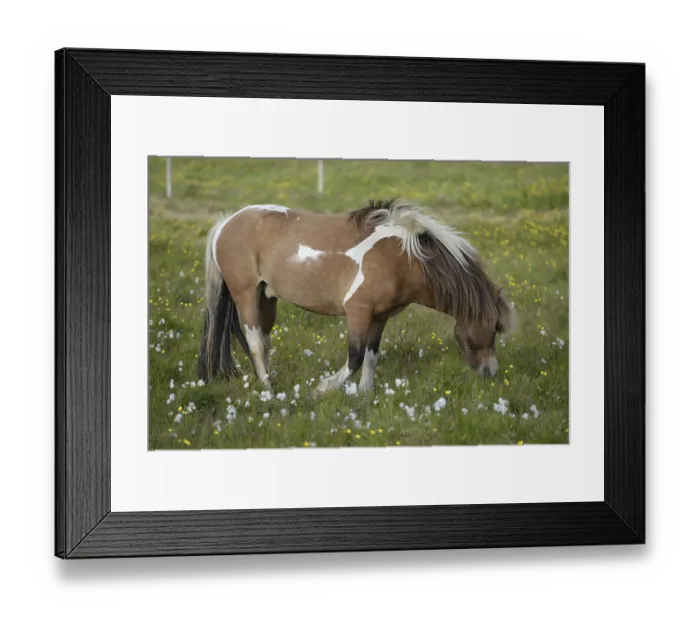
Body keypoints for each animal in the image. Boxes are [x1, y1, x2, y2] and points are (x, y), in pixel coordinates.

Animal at [197, 199, 514, 393]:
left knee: (263, 340)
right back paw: (268, 389)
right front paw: (323, 388)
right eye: (491, 328)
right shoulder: (358, 312)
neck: (406, 259)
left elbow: (371, 356)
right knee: (254, 341)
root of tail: (227, 223)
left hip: (267, 298)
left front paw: (365, 393)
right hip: (246, 294)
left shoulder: (380, 317)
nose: (491, 372)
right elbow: (355, 356)